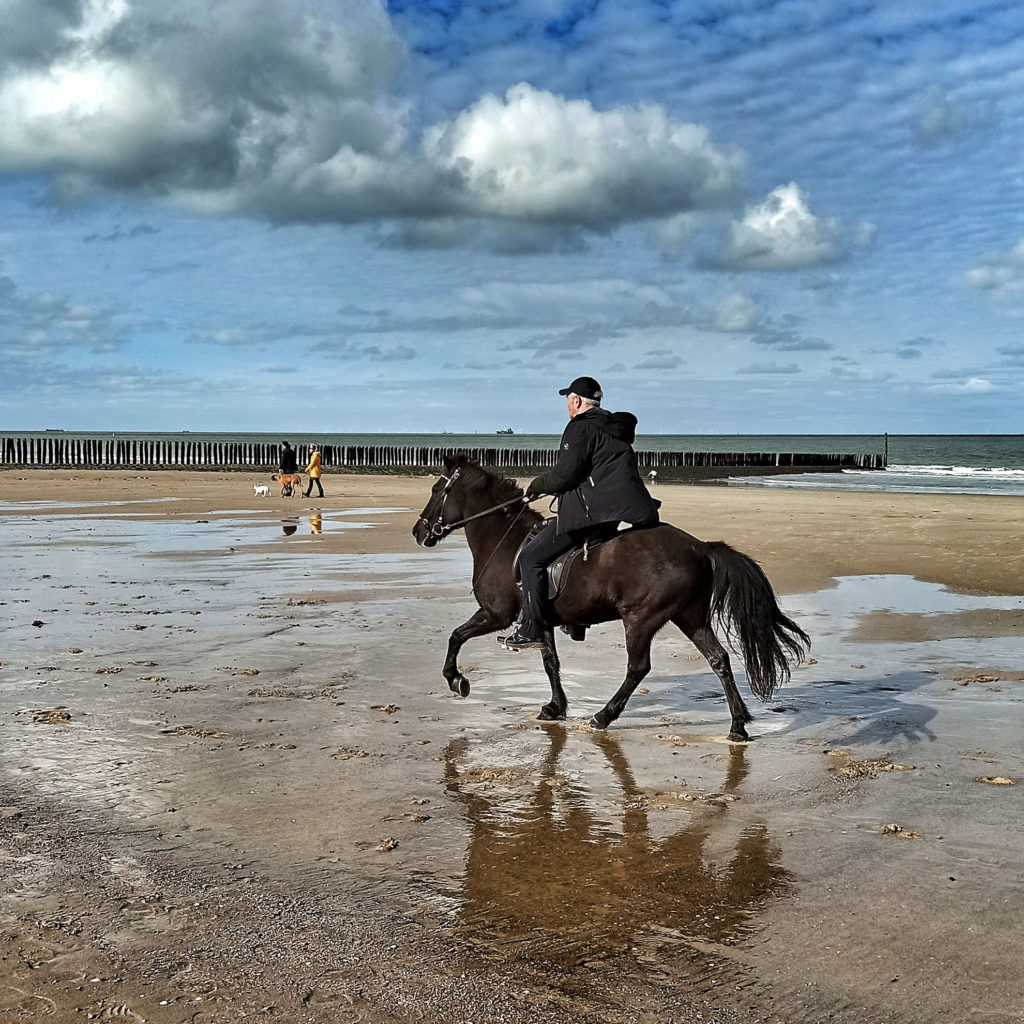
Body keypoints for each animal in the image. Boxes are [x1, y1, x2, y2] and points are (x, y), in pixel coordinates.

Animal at [411, 454, 811, 737]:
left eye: (436, 492)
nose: (418, 532)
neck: (504, 539)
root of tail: (700, 547)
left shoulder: (497, 614)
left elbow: (456, 636)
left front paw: (456, 679)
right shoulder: (540, 621)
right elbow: (551, 663)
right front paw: (554, 707)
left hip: (641, 618)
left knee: (638, 668)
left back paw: (603, 716)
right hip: (690, 616)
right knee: (719, 660)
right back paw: (738, 725)